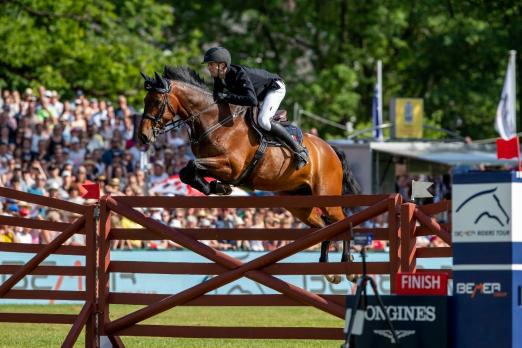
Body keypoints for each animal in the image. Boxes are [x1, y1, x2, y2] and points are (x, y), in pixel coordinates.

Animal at [136, 66, 360, 284]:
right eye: (145, 101)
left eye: (156, 102)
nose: (143, 137)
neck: (214, 121)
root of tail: (330, 149)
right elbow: (186, 172)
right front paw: (217, 187)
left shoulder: (230, 166)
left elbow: (192, 166)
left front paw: (219, 186)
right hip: (299, 204)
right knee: (324, 225)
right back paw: (329, 269)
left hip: (327, 197)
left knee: (341, 220)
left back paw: (348, 266)